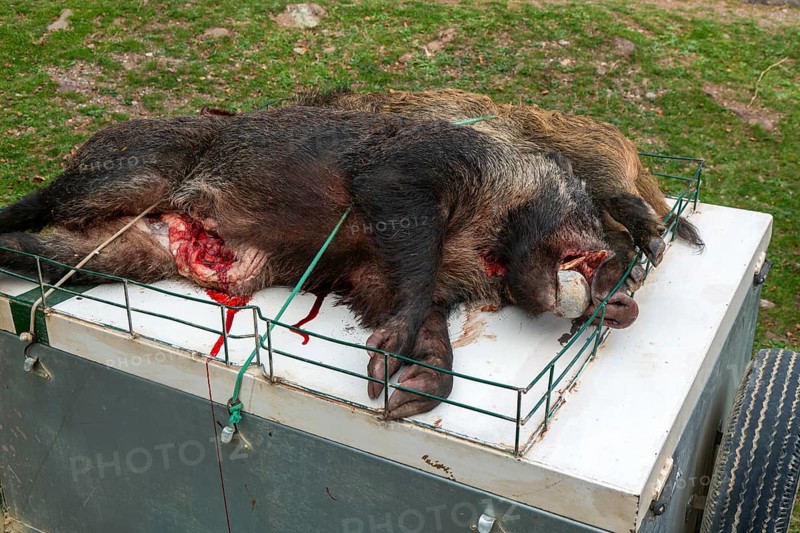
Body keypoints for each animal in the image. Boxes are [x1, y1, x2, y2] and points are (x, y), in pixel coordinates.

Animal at [0, 106, 637, 418]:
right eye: (585, 203)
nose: (622, 297)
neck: (489, 234)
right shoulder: (406, 174)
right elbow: (415, 268)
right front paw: (390, 359)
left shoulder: (370, 276)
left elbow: (428, 326)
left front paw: (396, 396)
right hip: (128, 172)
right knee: (39, 203)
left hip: (125, 254)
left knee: (52, 252)